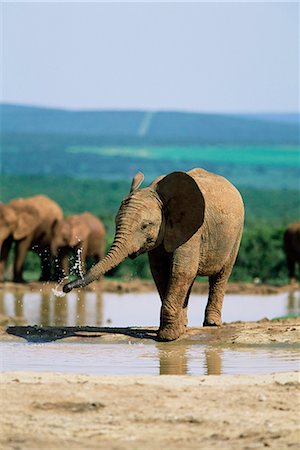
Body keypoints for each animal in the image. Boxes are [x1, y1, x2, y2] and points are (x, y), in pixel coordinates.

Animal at [63, 169, 244, 342]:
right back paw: (185, 325)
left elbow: (181, 271)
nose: (66, 288)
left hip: (236, 233)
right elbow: (160, 272)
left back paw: (211, 324)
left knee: (220, 275)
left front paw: (167, 338)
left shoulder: (192, 230)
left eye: (144, 226)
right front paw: (175, 331)